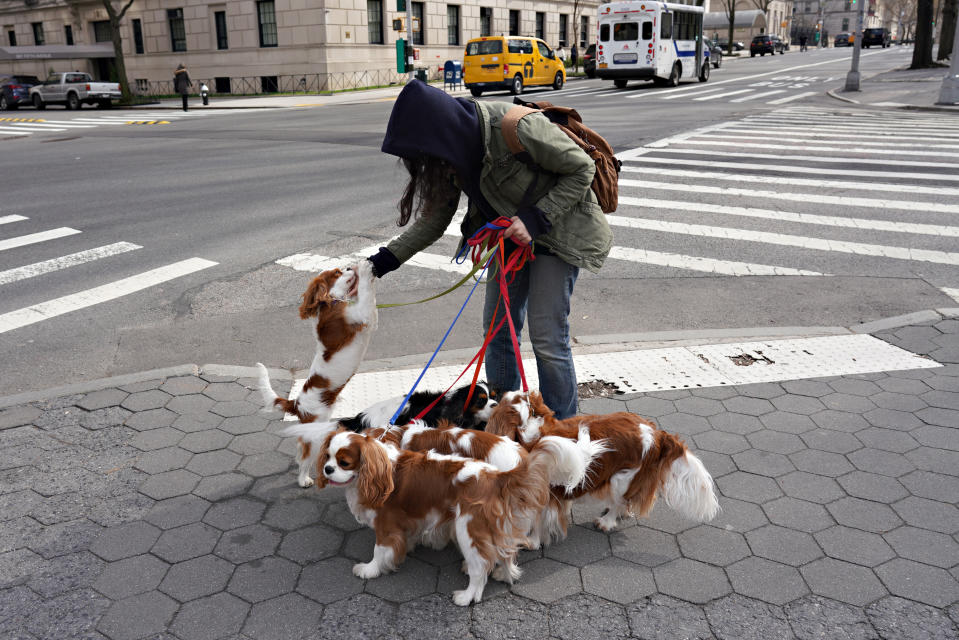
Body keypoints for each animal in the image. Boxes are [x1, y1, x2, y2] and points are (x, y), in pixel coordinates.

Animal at [255, 260, 378, 484]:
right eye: (337, 272)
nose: (349, 266)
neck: (331, 302)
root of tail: (296, 404)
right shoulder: (363, 316)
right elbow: (366, 294)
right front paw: (365, 268)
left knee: (299, 449)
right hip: (314, 434)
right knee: (305, 458)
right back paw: (304, 480)